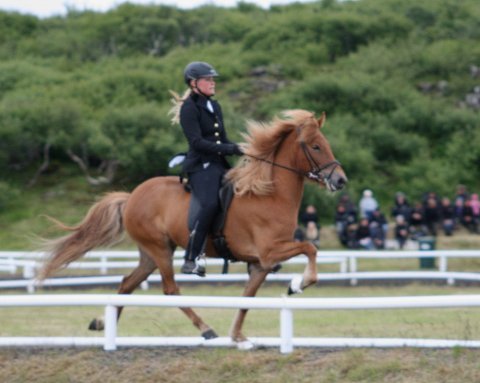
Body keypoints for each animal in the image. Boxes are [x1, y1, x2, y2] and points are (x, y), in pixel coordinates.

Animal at [37, 109, 344, 350]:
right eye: (315, 146)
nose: (340, 181)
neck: (269, 194)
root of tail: (132, 196)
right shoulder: (270, 252)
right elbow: (310, 248)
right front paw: (298, 284)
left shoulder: (261, 264)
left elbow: (247, 298)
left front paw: (239, 337)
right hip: (160, 250)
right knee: (171, 289)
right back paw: (206, 329)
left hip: (151, 253)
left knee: (127, 283)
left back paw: (102, 322)